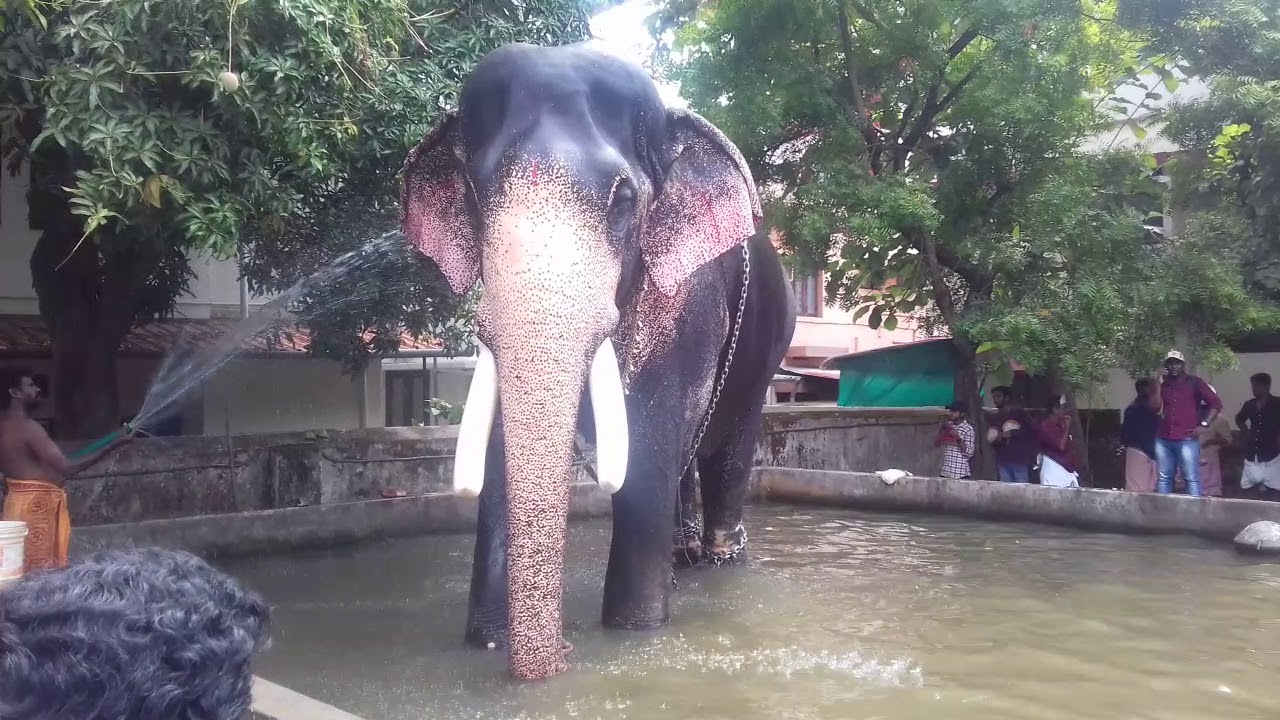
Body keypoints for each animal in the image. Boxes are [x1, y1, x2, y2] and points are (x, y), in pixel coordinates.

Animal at [400, 41, 797, 681]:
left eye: (624, 201)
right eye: (478, 196)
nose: (561, 657)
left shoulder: (684, 301)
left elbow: (646, 452)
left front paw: (635, 633)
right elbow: (501, 455)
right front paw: (486, 642)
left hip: (767, 336)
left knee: (728, 448)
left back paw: (717, 561)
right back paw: (682, 559)